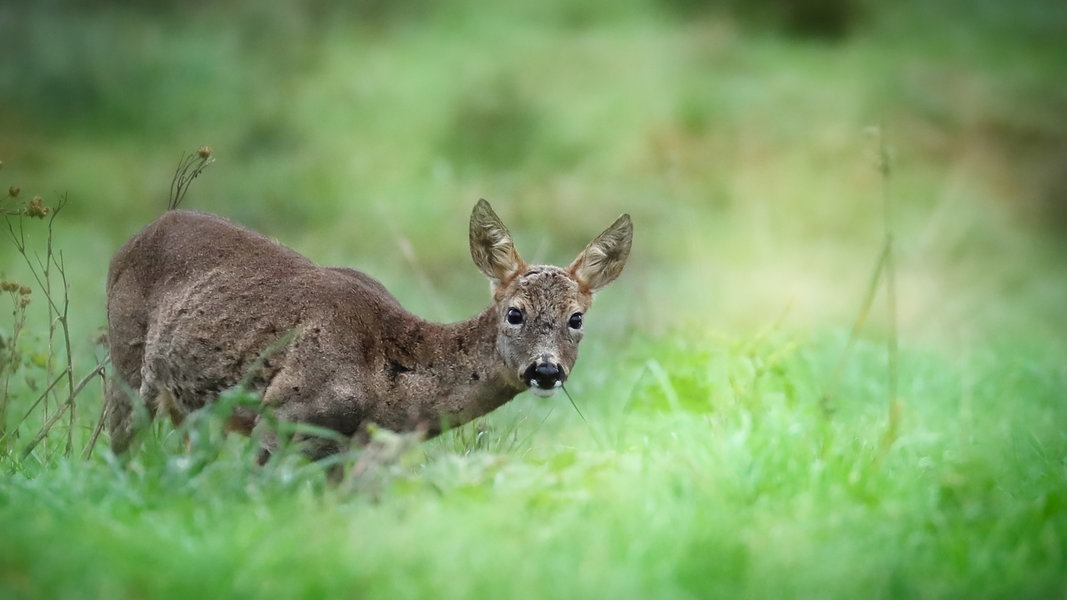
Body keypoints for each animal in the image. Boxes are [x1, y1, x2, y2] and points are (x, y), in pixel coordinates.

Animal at [104, 199, 627, 456]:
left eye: (576, 318)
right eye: (515, 313)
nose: (546, 370)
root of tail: (136, 235)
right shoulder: (282, 413)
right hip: (127, 360)